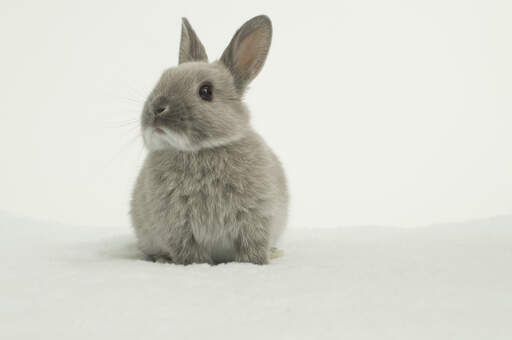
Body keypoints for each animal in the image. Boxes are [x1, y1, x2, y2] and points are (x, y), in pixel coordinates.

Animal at [130, 15, 288, 266]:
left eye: (206, 91)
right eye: (162, 79)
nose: (157, 109)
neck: (201, 150)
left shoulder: (255, 220)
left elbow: (252, 250)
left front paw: (256, 264)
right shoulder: (179, 229)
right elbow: (191, 255)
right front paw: (197, 266)